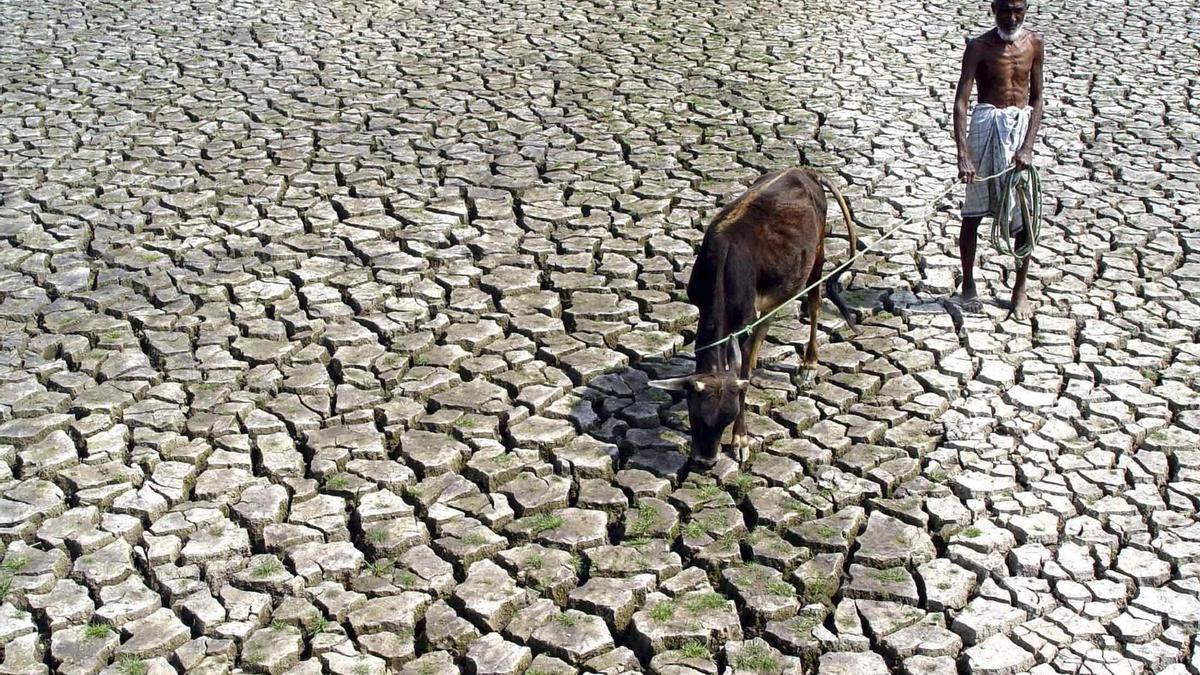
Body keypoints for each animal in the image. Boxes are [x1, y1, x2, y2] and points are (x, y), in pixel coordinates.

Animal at [652, 166, 859, 468]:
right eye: (695, 415)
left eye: (727, 418)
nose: (705, 462)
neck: (724, 266)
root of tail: (805, 171)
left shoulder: (745, 320)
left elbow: (744, 372)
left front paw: (741, 441)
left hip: (817, 255)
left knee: (814, 303)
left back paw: (809, 364)